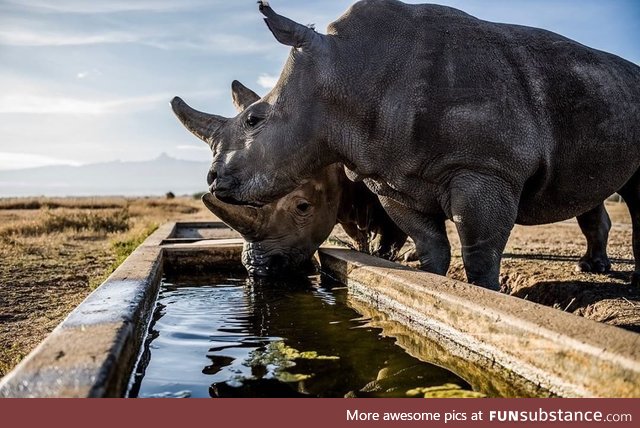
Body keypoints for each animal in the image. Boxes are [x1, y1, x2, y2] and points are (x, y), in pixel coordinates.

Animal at [175, 80, 404, 276]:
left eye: (303, 207)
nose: (258, 269)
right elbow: (355, 230)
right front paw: (363, 250)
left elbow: (392, 225)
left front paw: (383, 255)